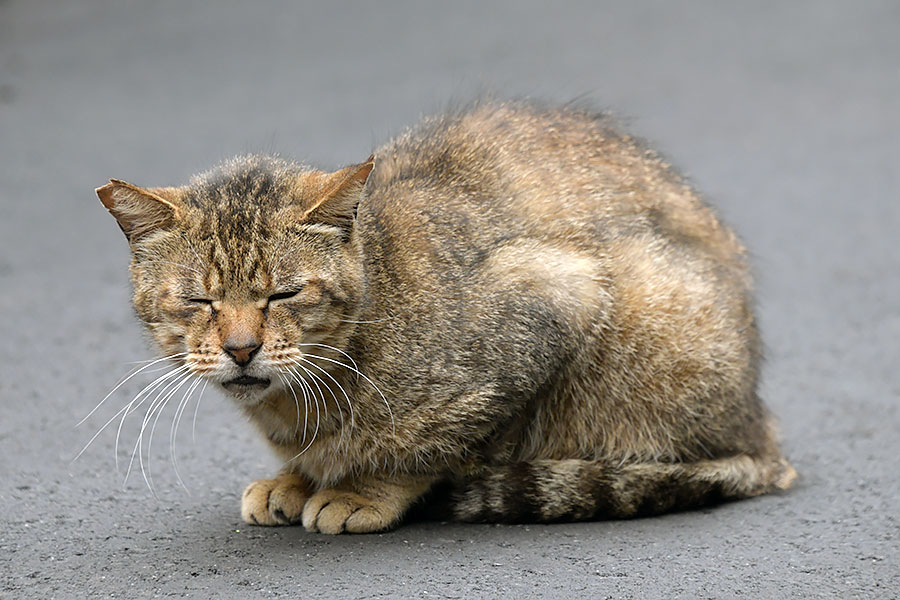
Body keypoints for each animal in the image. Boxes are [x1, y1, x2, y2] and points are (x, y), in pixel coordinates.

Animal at [95, 99, 792, 536]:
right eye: (199, 301)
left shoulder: (554, 299)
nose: (241, 348)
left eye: (283, 296)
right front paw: (294, 477)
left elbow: (437, 445)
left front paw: (361, 489)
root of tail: (759, 426)